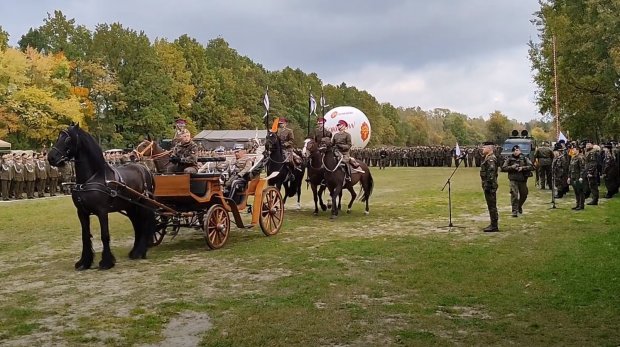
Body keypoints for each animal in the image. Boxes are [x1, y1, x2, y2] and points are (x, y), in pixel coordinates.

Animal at [49, 123, 159, 270]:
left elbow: (104, 235)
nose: (51, 157)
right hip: (130, 207)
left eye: (67, 139)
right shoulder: (81, 212)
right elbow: (85, 236)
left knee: (144, 224)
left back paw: (140, 251)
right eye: (58, 137)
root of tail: (145, 169)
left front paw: (106, 262)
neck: (91, 178)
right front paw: (84, 262)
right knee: (137, 225)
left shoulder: (102, 211)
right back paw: (135, 251)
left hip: (143, 205)